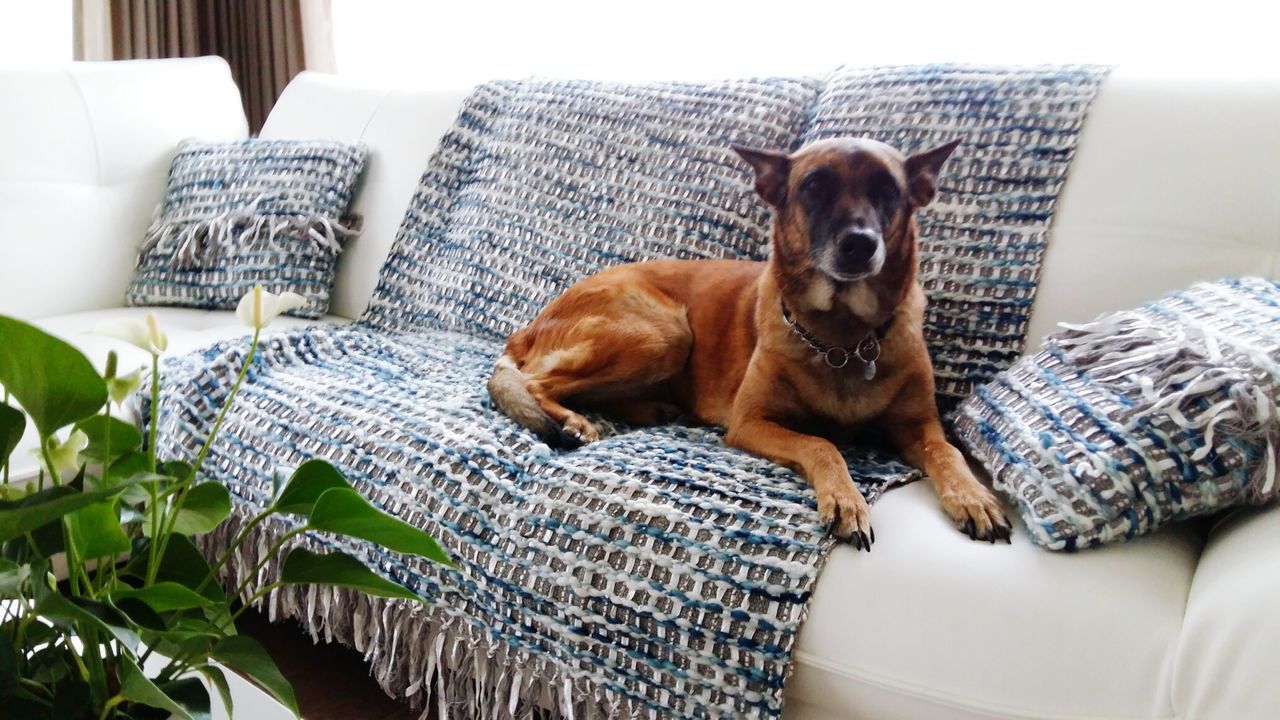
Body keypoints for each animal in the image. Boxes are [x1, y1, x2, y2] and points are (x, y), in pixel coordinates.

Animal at [486, 137, 1008, 545]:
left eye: (888, 190)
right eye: (813, 186)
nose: (859, 245)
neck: (843, 340)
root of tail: (528, 327)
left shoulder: (919, 426)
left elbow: (947, 451)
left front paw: (973, 496)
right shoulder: (751, 423)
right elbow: (823, 443)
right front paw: (845, 498)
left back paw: (651, 409)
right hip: (664, 333)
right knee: (537, 384)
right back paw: (575, 421)